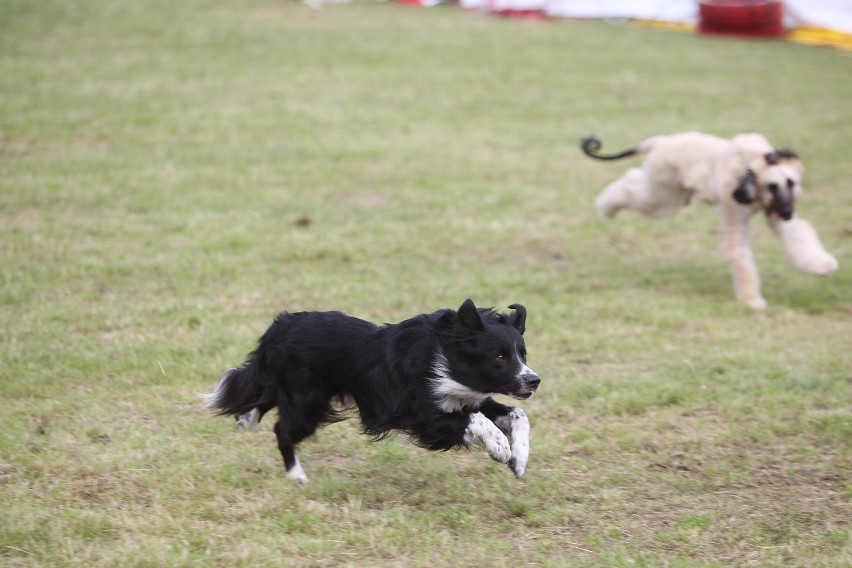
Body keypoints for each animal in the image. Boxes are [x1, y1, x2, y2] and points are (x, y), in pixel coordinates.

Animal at [584, 132, 840, 310]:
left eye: (791, 183)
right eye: (772, 186)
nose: (787, 212)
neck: (752, 166)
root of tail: (662, 141)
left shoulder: (774, 213)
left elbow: (798, 235)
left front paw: (821, 265)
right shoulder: (734, 215)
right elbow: (740, 257)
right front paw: (751, 300)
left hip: (673, 194)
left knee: (633, 178)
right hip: (661, 196)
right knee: (630, 184)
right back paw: (605, 207)